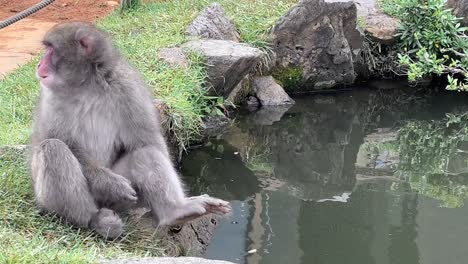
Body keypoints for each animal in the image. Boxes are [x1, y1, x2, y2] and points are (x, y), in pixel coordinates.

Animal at [30, 21, 231, 238]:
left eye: (51, 50)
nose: (39, 65)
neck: (86, 86)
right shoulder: (51, 98)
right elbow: (57, 140)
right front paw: (108, 184)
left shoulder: (128, 87)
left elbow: (146, 142)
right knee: (53, 148)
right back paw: (94, 220)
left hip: (126, 202)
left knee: (145, 152)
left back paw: (175, 212)